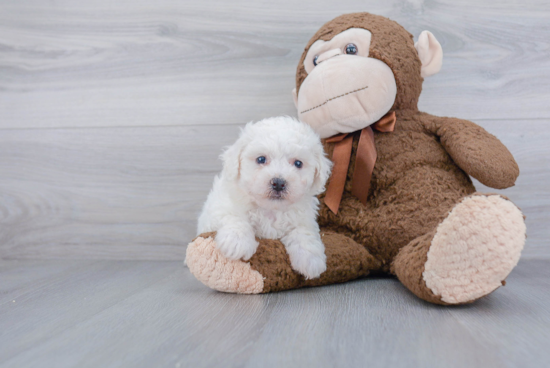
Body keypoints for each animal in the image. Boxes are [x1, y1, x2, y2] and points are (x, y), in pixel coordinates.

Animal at [199, 116, 334, 278]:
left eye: (298, 163)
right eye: (261, 159)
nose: (278, 183)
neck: (271, 209)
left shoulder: (304, 220)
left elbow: (303, 233)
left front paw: (310, 259)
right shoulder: (219, 209)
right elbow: (235, 217)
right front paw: (237, 241)